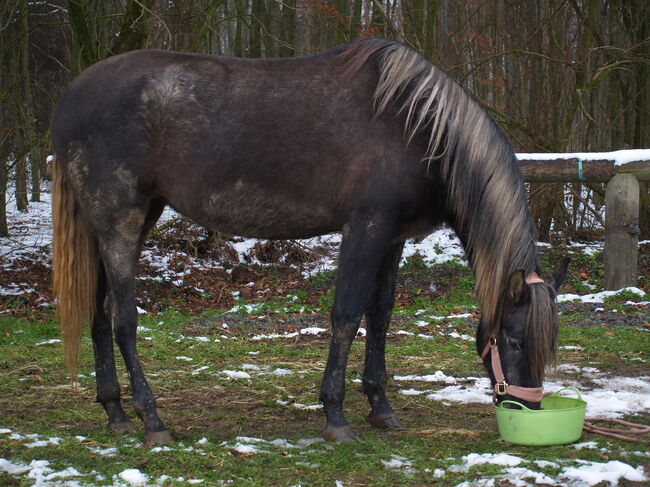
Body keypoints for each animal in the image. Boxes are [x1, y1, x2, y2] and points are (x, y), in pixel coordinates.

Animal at [52, 36, 568, 444]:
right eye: (515, 341)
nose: (528, 408)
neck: (417, 128)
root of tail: (72, 94)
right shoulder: (365, 229)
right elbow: (346, 315)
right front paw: (336, 415)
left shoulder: (393, 238)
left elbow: (380, 316)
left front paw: (381, 407)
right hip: (121, 221)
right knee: (122, 320)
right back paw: (151, 419)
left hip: (126, 223)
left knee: (98, 316)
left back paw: (116, 412)